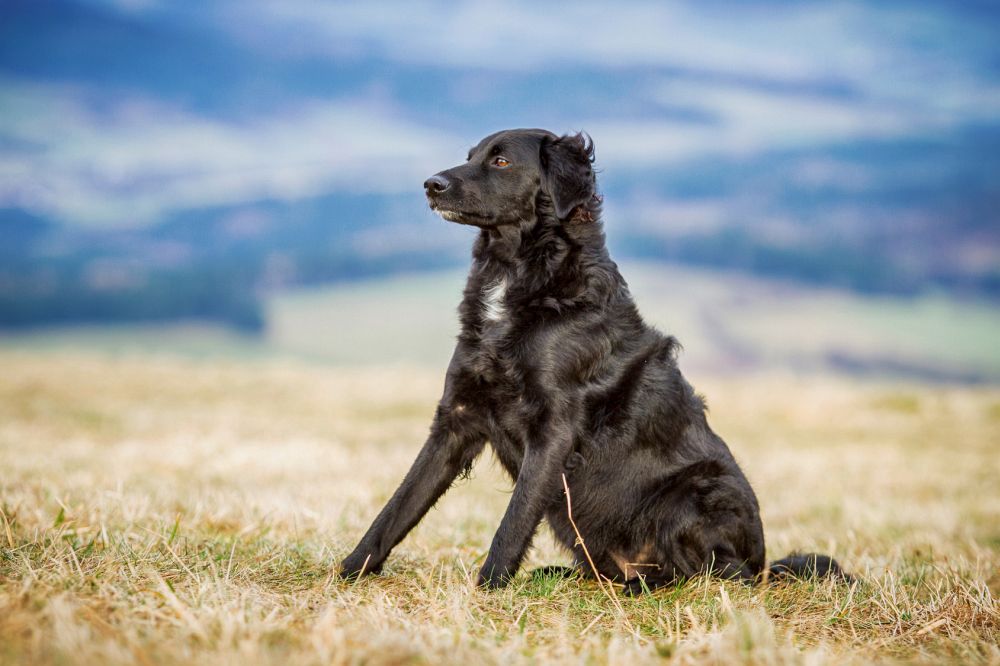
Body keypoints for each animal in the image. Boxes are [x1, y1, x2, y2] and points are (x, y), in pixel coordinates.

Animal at [340, 130, 848, 592]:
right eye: (469, 156)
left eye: (501, 161)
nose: (431, 184)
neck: (524, 275)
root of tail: (763, 565)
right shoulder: (457, 417)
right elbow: (398, 507)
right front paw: (348, 571)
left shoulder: (554, 431)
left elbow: (513, 522)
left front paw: (487, 589)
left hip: (695, 493)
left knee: (718, 575)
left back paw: (645, 586)